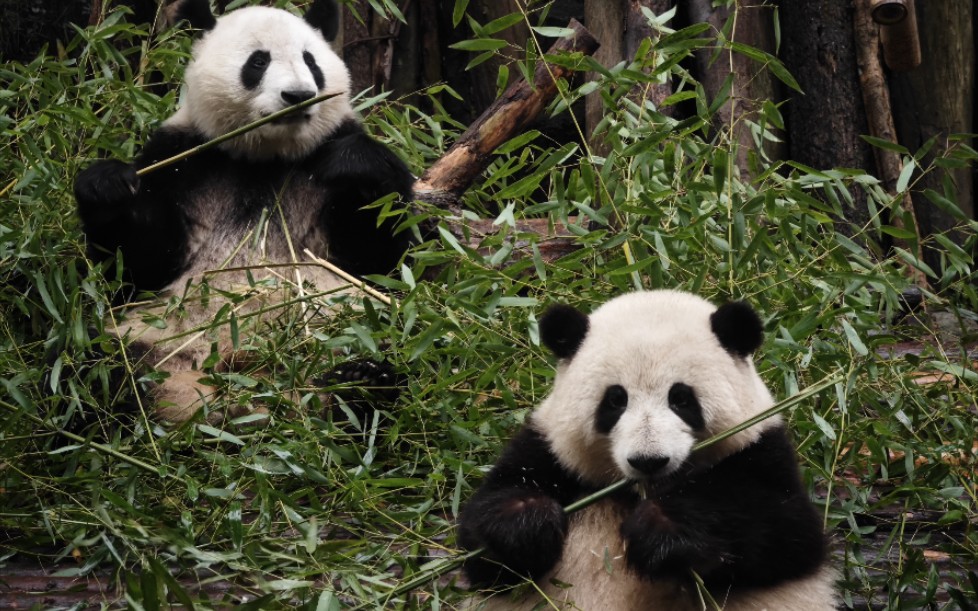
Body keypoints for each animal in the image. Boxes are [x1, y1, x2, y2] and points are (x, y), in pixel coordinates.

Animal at [73, 0, 412, 426]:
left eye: (311, 61)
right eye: (258, 61)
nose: (298, 94)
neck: (265, 155)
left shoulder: (327, 157)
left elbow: (378, 257)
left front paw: (355, 164)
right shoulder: (184, 159)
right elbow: (140, 264)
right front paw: (107, 186)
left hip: (356, 330)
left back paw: (361, 381)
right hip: (149, 339)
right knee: (94, 369)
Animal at [456, 290, 832, 608]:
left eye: (681, 398)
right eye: (615, 400)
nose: (649, 461)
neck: (638, 493)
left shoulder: (760, 449)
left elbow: (785, 531)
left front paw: (663, 528)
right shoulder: (549, 450)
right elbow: (483, 549)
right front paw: (529, 522)